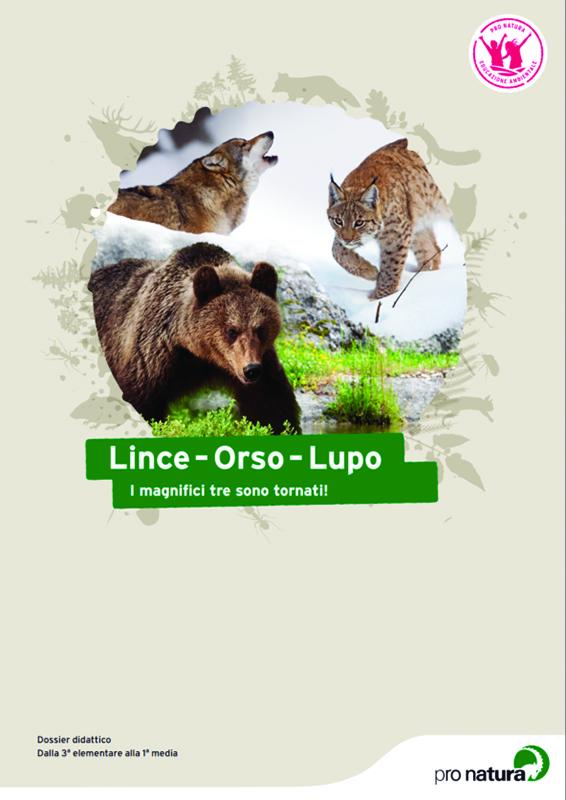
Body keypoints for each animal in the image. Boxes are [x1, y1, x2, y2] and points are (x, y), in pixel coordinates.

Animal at [88, 243, 300, 434]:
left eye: (260, 328)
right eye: (231, 330)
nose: (251, 370)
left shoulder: (262, 364)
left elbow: (272, 405)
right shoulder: (149, 358)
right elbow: (140, 401)